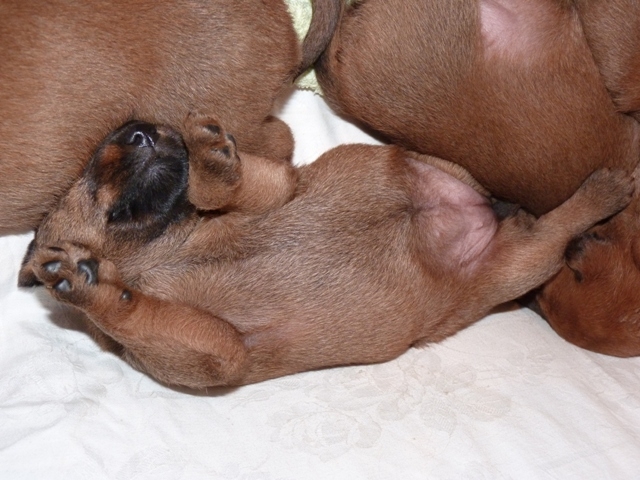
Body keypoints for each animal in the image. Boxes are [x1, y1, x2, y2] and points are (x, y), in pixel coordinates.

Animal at [17, 114, 632, 388]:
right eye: (92, 172)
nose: (145, 129)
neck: (161, 252)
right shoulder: (217, 350)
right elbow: (132, 307)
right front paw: (86, 285)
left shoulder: (277, 187)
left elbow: (221, 186)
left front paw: (210, 155)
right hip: (520, 260)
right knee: (549, 229)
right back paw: (593, 196)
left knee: (555, 220)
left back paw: (601, 189)